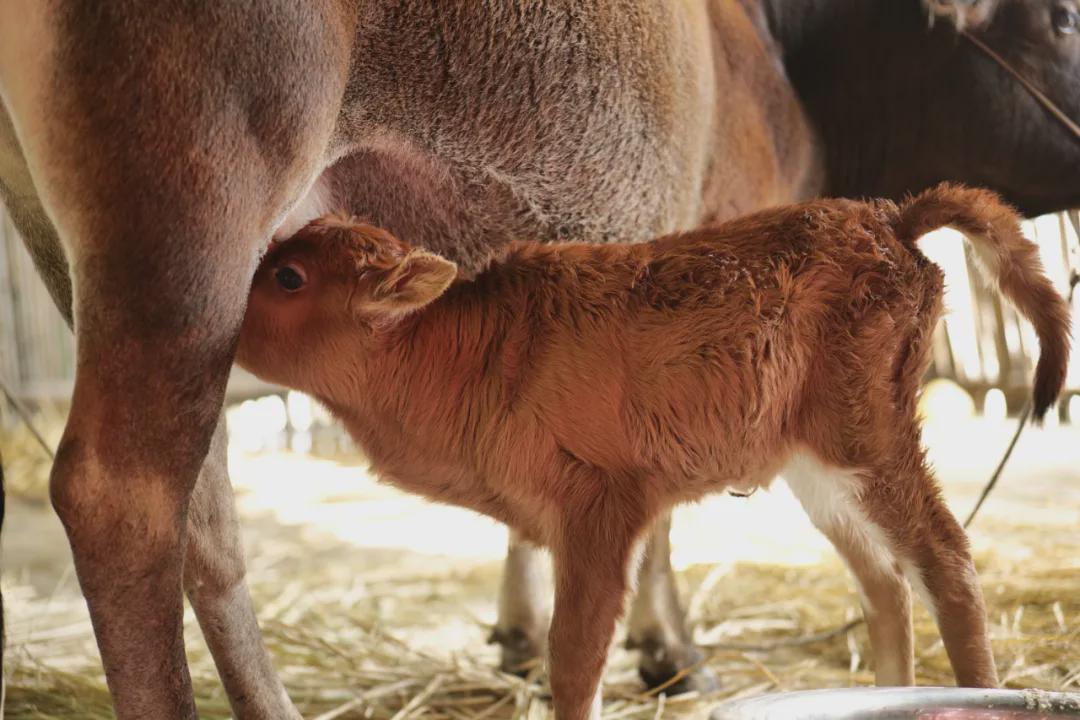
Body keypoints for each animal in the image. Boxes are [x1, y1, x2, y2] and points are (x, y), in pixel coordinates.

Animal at [236, 185, 1071, 720]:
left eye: (288, 277)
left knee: (946, 560)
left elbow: (575, 656)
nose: (223, 321)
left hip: (872, 438)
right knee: (884, 582)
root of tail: (890, 218)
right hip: (818, 469)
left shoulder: (602, 510)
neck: (462, 351)